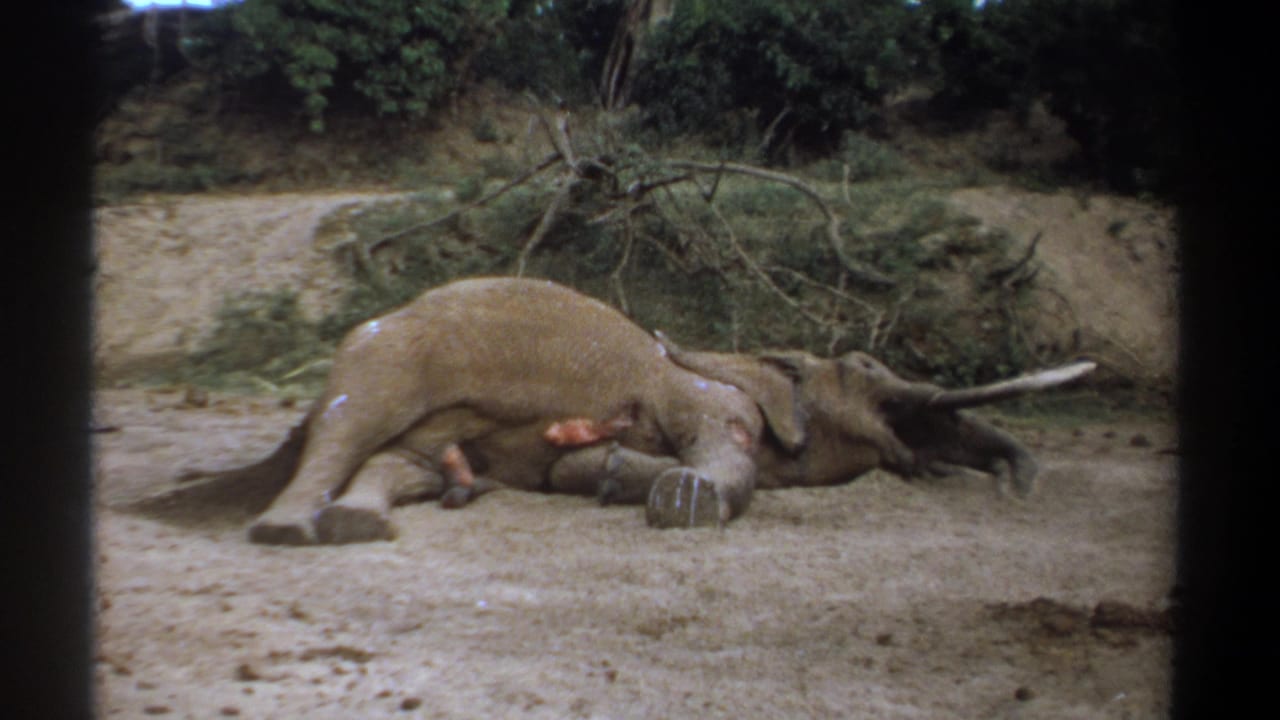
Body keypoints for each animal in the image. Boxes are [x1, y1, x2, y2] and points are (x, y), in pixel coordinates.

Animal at [232, 276, 1093, 545]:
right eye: (866, 367)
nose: (1018, 490)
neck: (758, 356)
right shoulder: (708, 392)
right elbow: (720, 444)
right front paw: (684, 500)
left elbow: (571, 467)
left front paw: (615, 474)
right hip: (390, 355)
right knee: (351, 425)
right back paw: (288, 528)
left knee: (400, 459)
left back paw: (369, 520)